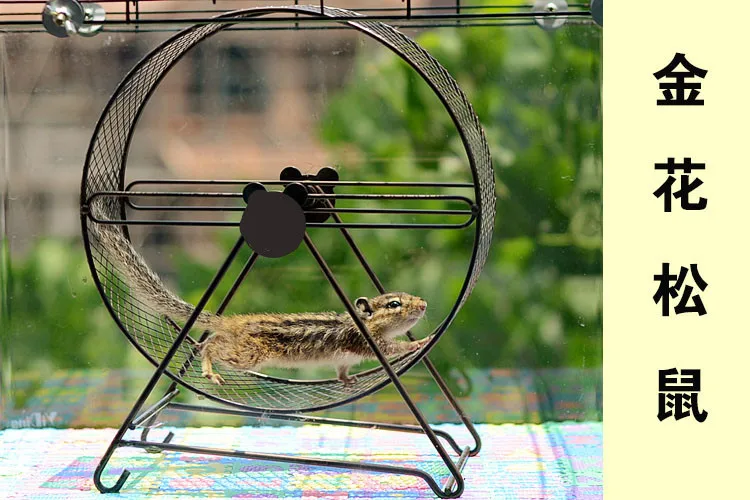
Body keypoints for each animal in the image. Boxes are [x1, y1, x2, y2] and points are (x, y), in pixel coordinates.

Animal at [88, 200, 432, 386]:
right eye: (394, 304)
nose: (424, 304)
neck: (359, 322)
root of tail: (233, 322)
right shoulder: (369, 343)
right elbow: (395, 349)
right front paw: (423, 342)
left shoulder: (348, 356)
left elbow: (342, 369)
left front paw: (347, 381)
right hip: (248, 354)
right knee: (211, 346)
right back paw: (210, 369)